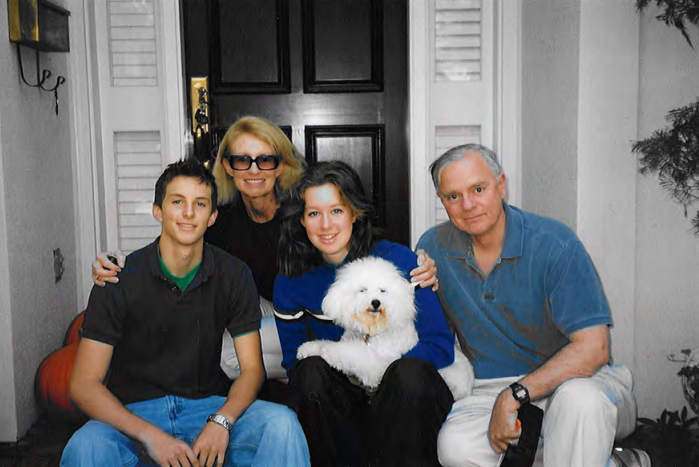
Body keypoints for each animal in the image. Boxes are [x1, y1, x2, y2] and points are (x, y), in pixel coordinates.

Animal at [296, 256, 476, 398]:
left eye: (383, 290)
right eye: (362, 290)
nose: (376, 302)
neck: (371, 330)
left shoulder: (375, 365)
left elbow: (349, 353)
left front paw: (329, 351)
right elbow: (326, 343)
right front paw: (309, 348)